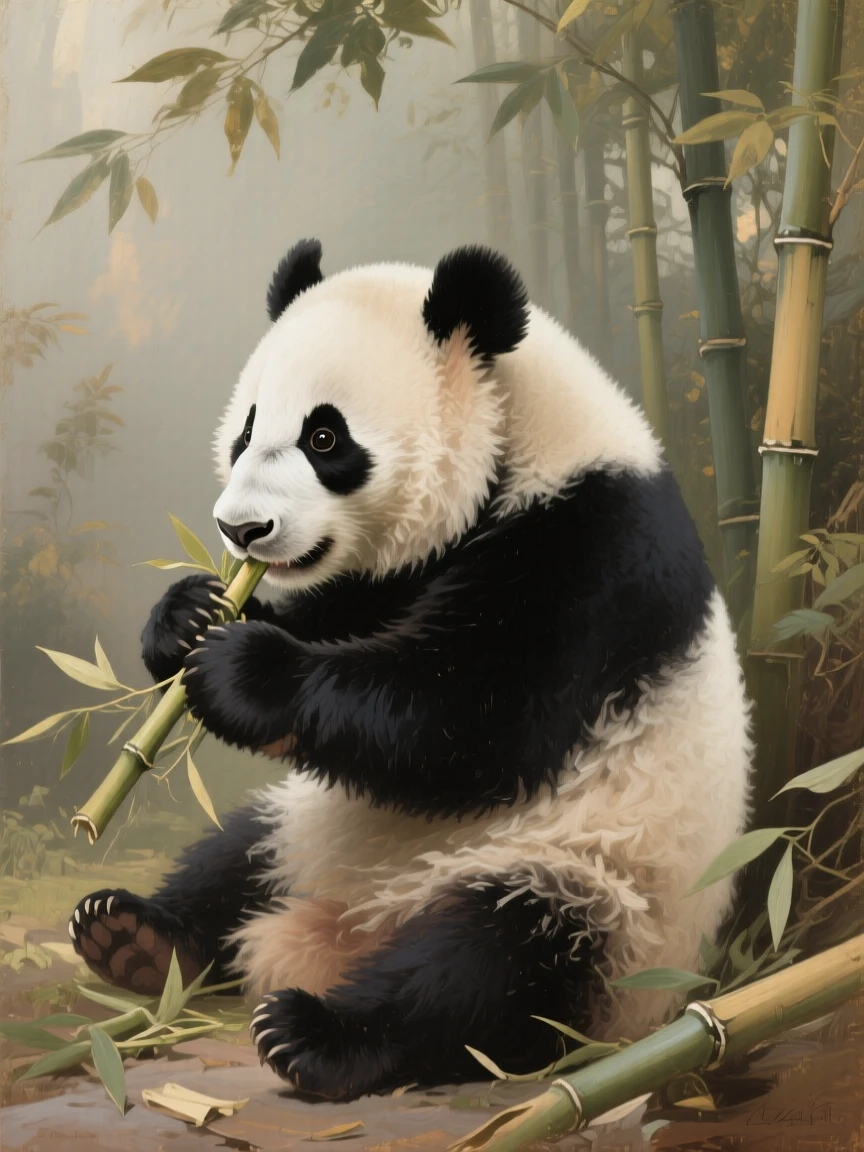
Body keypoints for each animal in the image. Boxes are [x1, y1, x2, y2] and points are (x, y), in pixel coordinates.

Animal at [69, 240, 751, 1102]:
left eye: (326, 438)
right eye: (247, 429)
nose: (241, 529)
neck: (524, 439)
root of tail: (349, 930)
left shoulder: (594, 552)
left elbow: (476, 722)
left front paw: (242, 670)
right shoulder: (391, 578)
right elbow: (341, 624)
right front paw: (188, 617)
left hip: (602, 900)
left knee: (488, 968)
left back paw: (318, 1034)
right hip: (309, 829)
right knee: (232, 854)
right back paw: (133, 938)